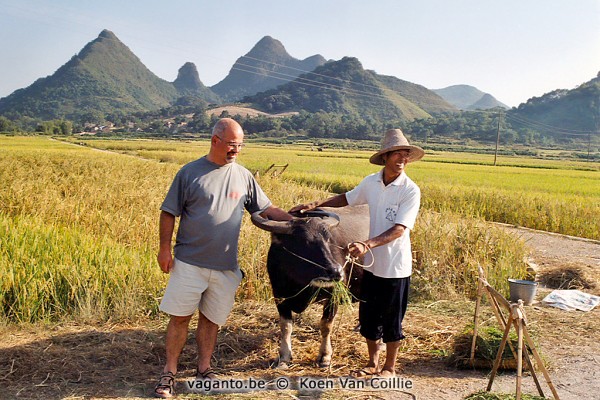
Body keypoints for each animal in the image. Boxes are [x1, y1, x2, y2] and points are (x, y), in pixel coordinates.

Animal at [250, 206, 370, 368]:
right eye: (304, 241)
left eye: (327, 239)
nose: (336, 271)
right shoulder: (279, 295)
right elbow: (286, 326)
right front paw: (284, 356)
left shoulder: (333, 296)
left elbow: (326, 325)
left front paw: (325, 356)